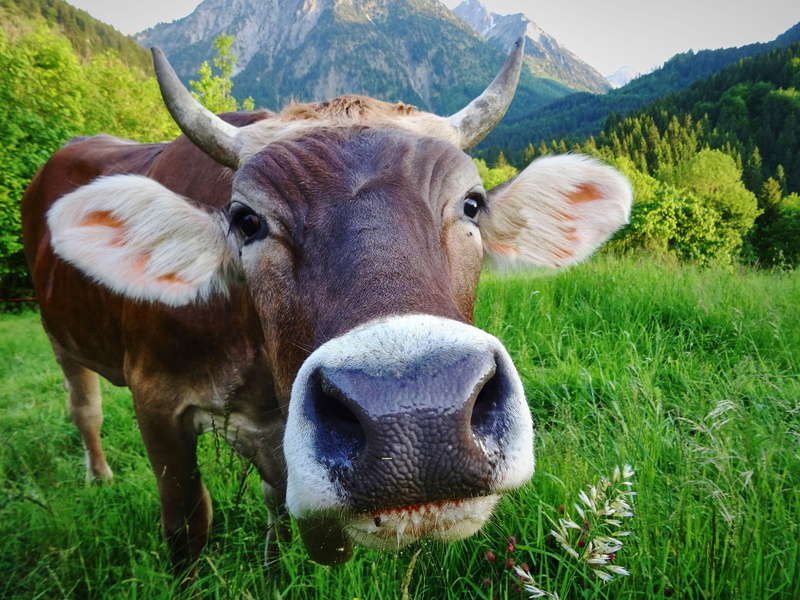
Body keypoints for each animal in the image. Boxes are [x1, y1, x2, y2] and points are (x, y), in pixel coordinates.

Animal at [21, 39, 631, 575]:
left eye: (472, 204)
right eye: (247, 220)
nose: (415, 416)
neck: (258, 377)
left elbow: (276, 505)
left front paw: (273, 572)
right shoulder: (155, 399)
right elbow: (187, 525)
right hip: (58, 337)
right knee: (85, 408)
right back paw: (98, 476)